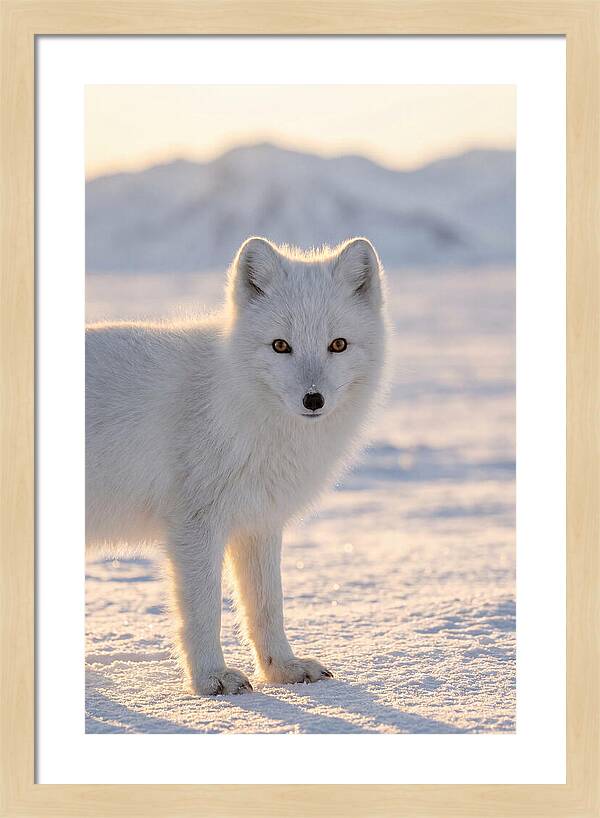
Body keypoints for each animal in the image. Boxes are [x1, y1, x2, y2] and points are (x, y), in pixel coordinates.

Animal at [86, 236, 388, 695]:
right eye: (281, 345)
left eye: (338, 344)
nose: (313, 399)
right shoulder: (194, 524)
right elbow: (204, 609)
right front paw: (211, 679)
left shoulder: (258, 522)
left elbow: (267, 606)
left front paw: (283, 669)